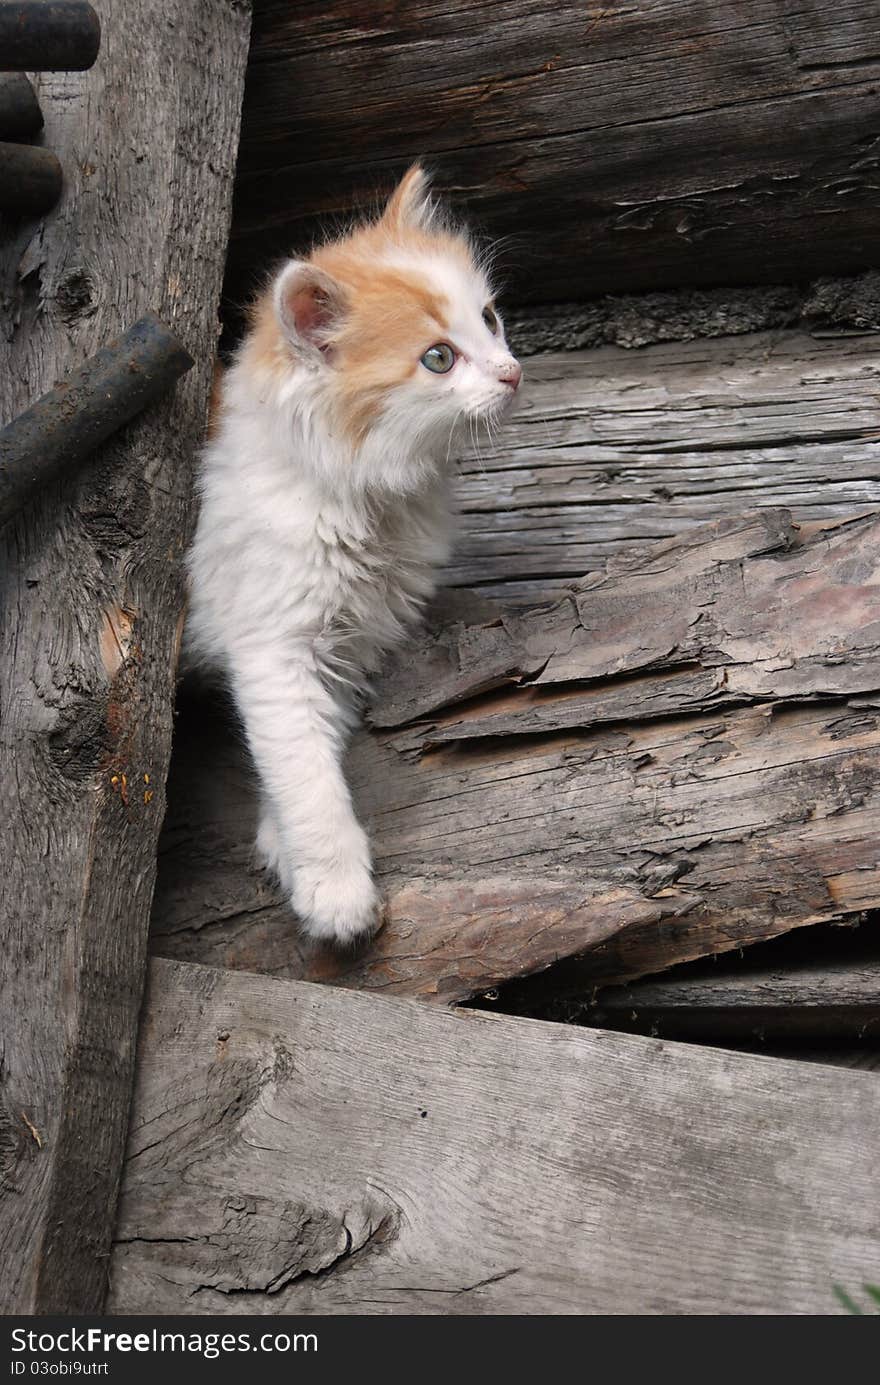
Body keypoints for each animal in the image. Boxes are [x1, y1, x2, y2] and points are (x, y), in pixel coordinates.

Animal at [182, 159, 521, 941]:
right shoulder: (274, 644)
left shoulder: (347, 643)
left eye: (489, 320)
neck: (361, 498)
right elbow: (304, 770)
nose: (512, 371)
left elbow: (315, 745)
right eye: (438, 358)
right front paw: (334, 889)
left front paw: (282, 847)